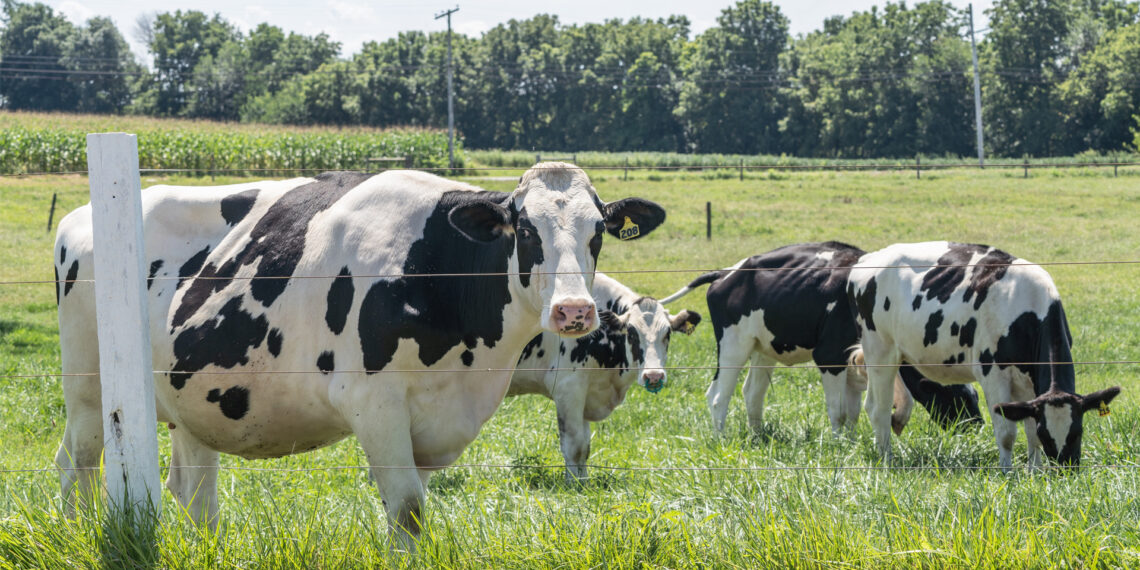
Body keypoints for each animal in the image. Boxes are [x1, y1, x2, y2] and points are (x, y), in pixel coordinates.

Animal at [53, 163, 666, 548]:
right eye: (525, 230)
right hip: (89, 387)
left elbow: (410, 508)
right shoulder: (374, 402)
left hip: (192, 401)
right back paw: (77, 531)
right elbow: (409, 510)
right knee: (79, 462)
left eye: (597, 232)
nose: (573, 311)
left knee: (194, 494)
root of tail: (80, 215)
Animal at [508, 272, 701, 483]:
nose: (653, 376)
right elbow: (574, 446)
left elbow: (585, 446)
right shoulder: (568, 389)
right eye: (631, 333)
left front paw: (583, 482)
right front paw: (572, 484)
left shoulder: (587, 391)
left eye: (667, 333)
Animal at [660, 241, 982, 436]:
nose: (976, 428)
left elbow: (853, 411)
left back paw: (758, 436)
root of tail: (726, 272)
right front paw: (839, 444)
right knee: (717, 396)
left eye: (974, 395)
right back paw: (721, 438)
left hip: (762, 347)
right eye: (955, 398)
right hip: (732, 345)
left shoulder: (856, 362)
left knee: (752, 393)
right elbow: (838, 411)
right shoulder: (829, 356)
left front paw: (852, 442)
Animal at [846, 241, 1121, 469]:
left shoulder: (1028, 382)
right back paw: (887, 462)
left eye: (1078, 431)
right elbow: (1007, 433)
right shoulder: (993, 373)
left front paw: (1035, 473)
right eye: (1048, 435)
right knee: (879, 409)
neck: (1028, 309)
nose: (1066, 471)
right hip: (880, 349)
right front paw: (1008, 474)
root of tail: (868, 259)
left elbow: (1029, 429)